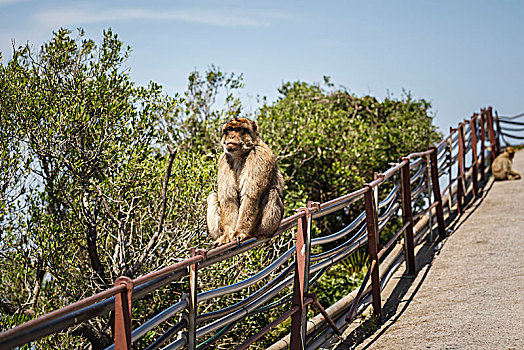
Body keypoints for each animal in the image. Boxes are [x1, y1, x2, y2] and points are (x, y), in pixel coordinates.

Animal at [207, 116, 284, 245]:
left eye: (238, 129)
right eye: (229, 130)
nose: (231, 136)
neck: (240, 154)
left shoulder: (258, 156)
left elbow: (250, 196)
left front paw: (240, 232)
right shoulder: (225, 160)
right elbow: (228, 198)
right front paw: (227, 234)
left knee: (273, 192)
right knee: (212, 196)